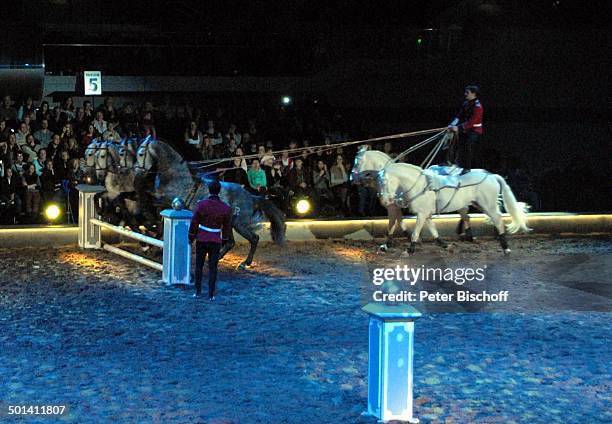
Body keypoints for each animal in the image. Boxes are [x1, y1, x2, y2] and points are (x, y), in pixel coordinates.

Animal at [133, 137, 286, 268]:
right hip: (230, 223)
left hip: (239, 224)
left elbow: (150, 202)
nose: (137, 174)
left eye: (141, 154)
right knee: (231, 242)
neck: (176, 176)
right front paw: (151, 238)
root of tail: (251, 196)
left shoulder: (167, 201)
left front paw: (149, 229)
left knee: (254, 238)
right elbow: (154, 210)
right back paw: (216, 258)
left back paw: (244, 263)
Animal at [350, 148, 532, 253]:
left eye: (357, 162)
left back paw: (505, 247)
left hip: (488, 205)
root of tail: (491, 175)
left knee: (498, 219)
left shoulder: (413, 211)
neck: (417, 183)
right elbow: (431, 228)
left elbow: (406, 227)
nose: (352, 179)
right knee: (470, 216)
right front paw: (443, 244)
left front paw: (408, 247)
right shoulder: (424, 212)